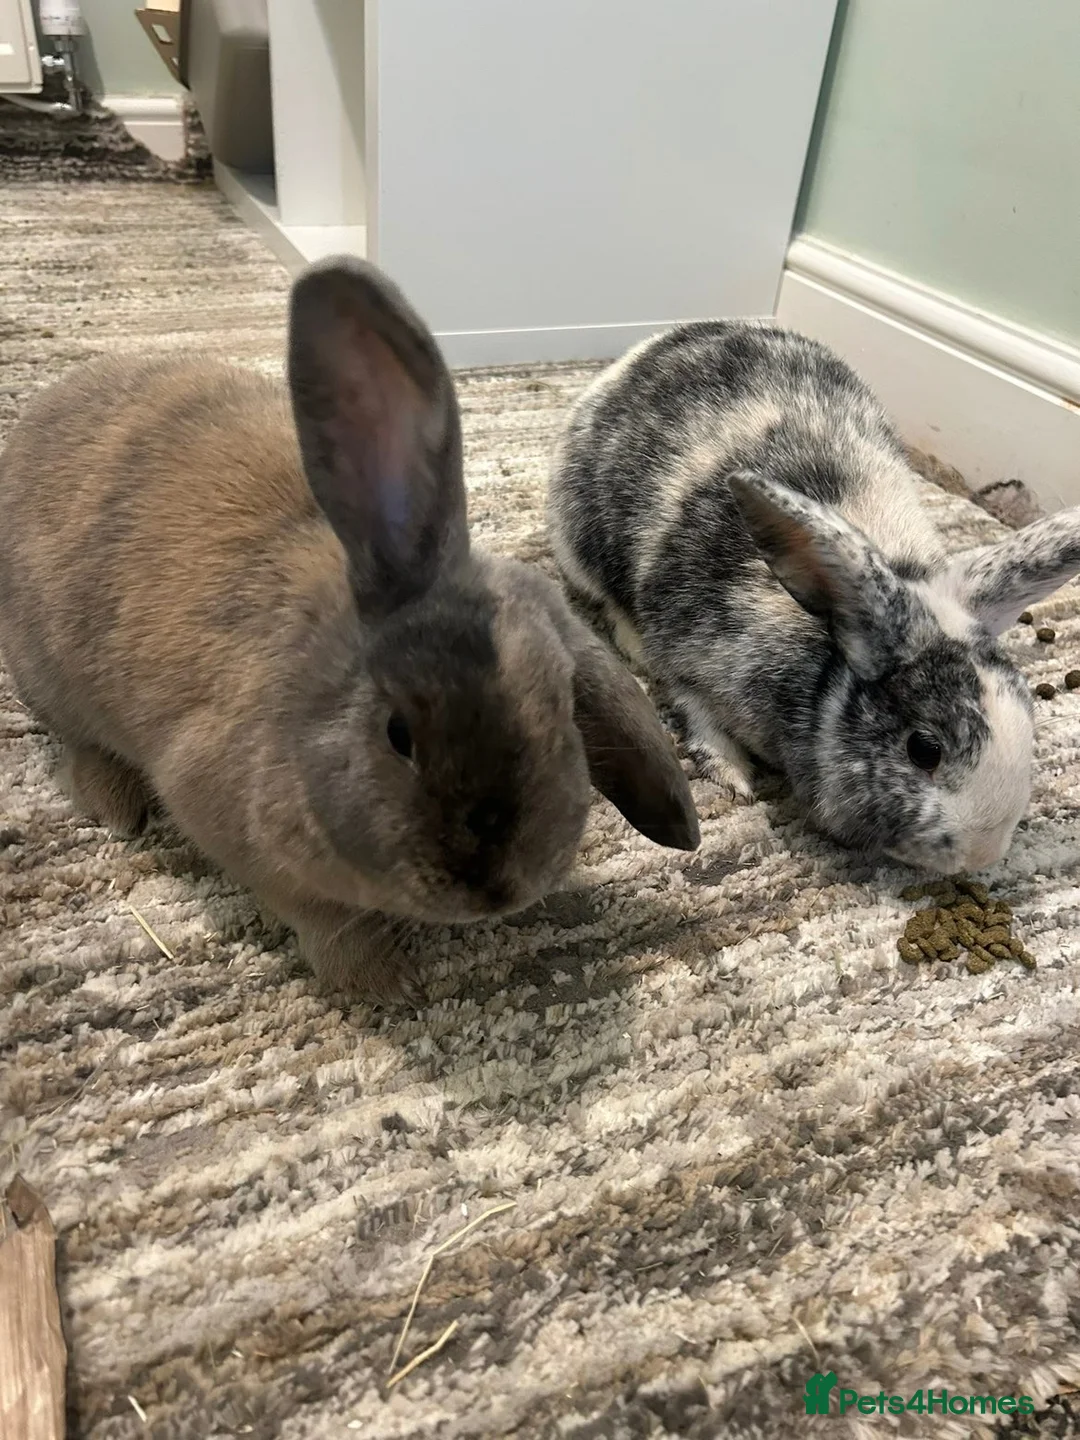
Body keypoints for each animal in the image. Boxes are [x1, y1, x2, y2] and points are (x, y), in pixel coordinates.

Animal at [0, 257, 699, 1004]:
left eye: (563, 707)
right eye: (399, 734)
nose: (498, 888)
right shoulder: (231, 822)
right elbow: (327, 920)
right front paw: (388, 983)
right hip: (47, 677)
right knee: (78, 743)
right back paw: (118, 808)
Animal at [547, 319, 1080, 875]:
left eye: (1030, 721)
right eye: (924, 749)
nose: (982, 854)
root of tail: (646, 351)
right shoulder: (688, 659)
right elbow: (695, 711)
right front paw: (734, 778)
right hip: (576, 539)